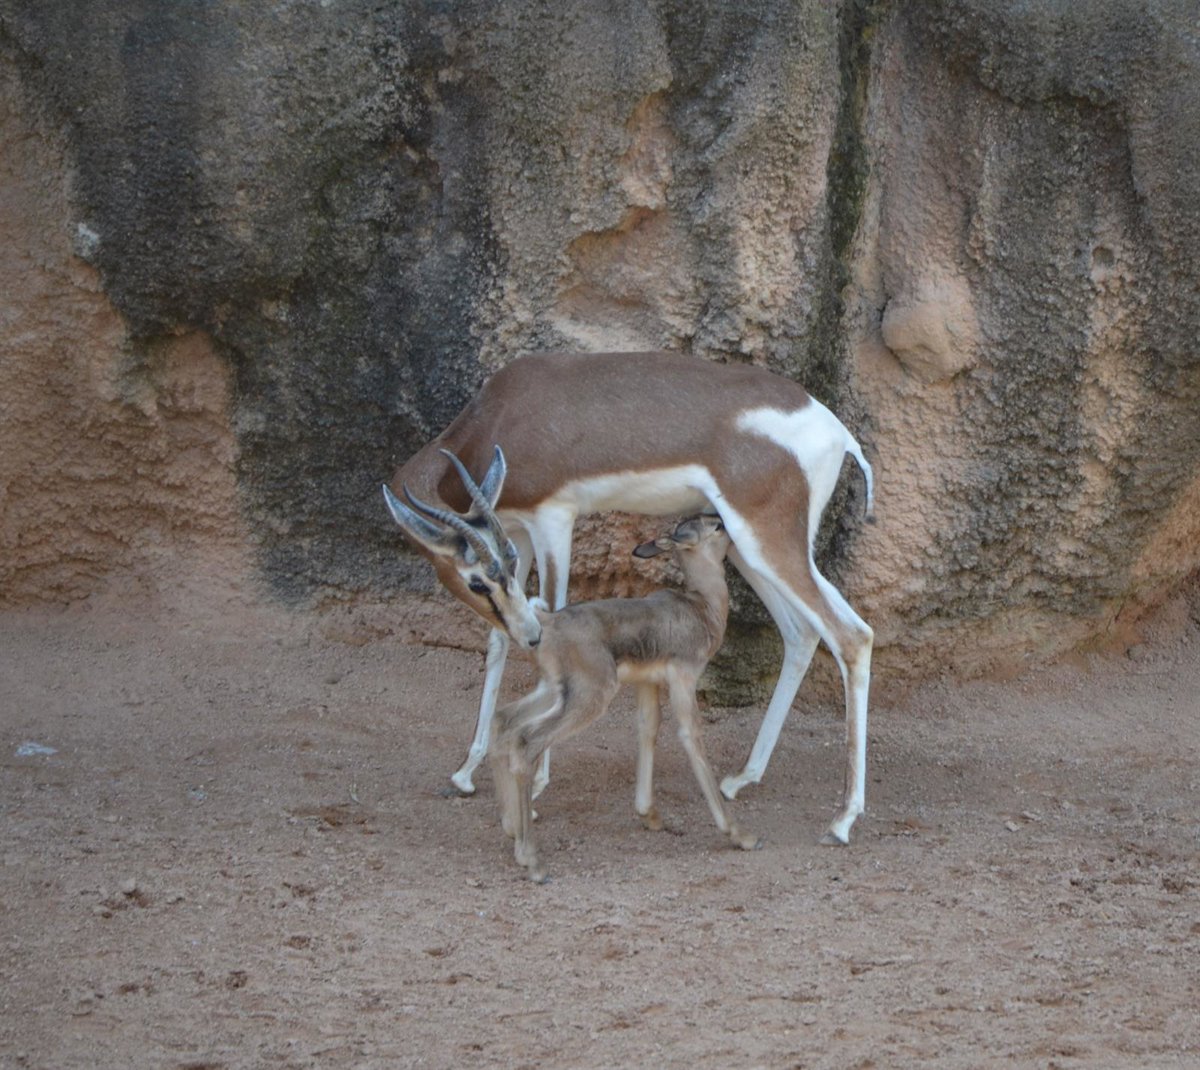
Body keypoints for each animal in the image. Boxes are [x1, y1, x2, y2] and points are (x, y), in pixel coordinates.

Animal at [490, 514, 759, 882]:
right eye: (715, 526)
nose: (733, 526)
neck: (701, 606)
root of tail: (549, 621)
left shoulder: (647, 683)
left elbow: (648, 728)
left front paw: (650, 815)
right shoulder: (684, 680)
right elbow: (691, 736)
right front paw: (738, 834)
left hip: (556, 691)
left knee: (505, 720)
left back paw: (511, 826)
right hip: (590, 697)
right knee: (527, 741)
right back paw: (531, 860)